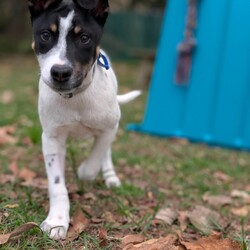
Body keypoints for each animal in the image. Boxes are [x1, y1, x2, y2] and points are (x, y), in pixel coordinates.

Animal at [27, 0, 141, 240]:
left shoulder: (109, 127)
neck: (75, 97)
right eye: (45, 35)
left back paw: (110, 177)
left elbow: (94, 160)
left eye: (85, 38)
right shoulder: (51, 137)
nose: (60, 72)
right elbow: (57, 185)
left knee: (105, 153)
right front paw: (57, 221)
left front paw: (84, 172)